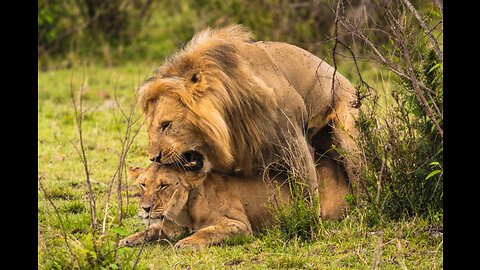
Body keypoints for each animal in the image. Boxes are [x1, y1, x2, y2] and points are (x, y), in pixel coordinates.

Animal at [120, 158, 348, 249]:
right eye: (143, 184)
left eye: (163, 186)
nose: (145, 209)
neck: (182, 213)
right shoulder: (169, 227)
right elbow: (150, 230)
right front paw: (126, 240)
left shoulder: (240, 225)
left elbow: (207, 231)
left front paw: (186, 242)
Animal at [139, 24, 360, 198]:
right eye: (149, 129)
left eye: (166, 125)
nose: (154, 158)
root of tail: (342, 77)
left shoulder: (293, 138)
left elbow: (306, 186)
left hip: (348, 135)